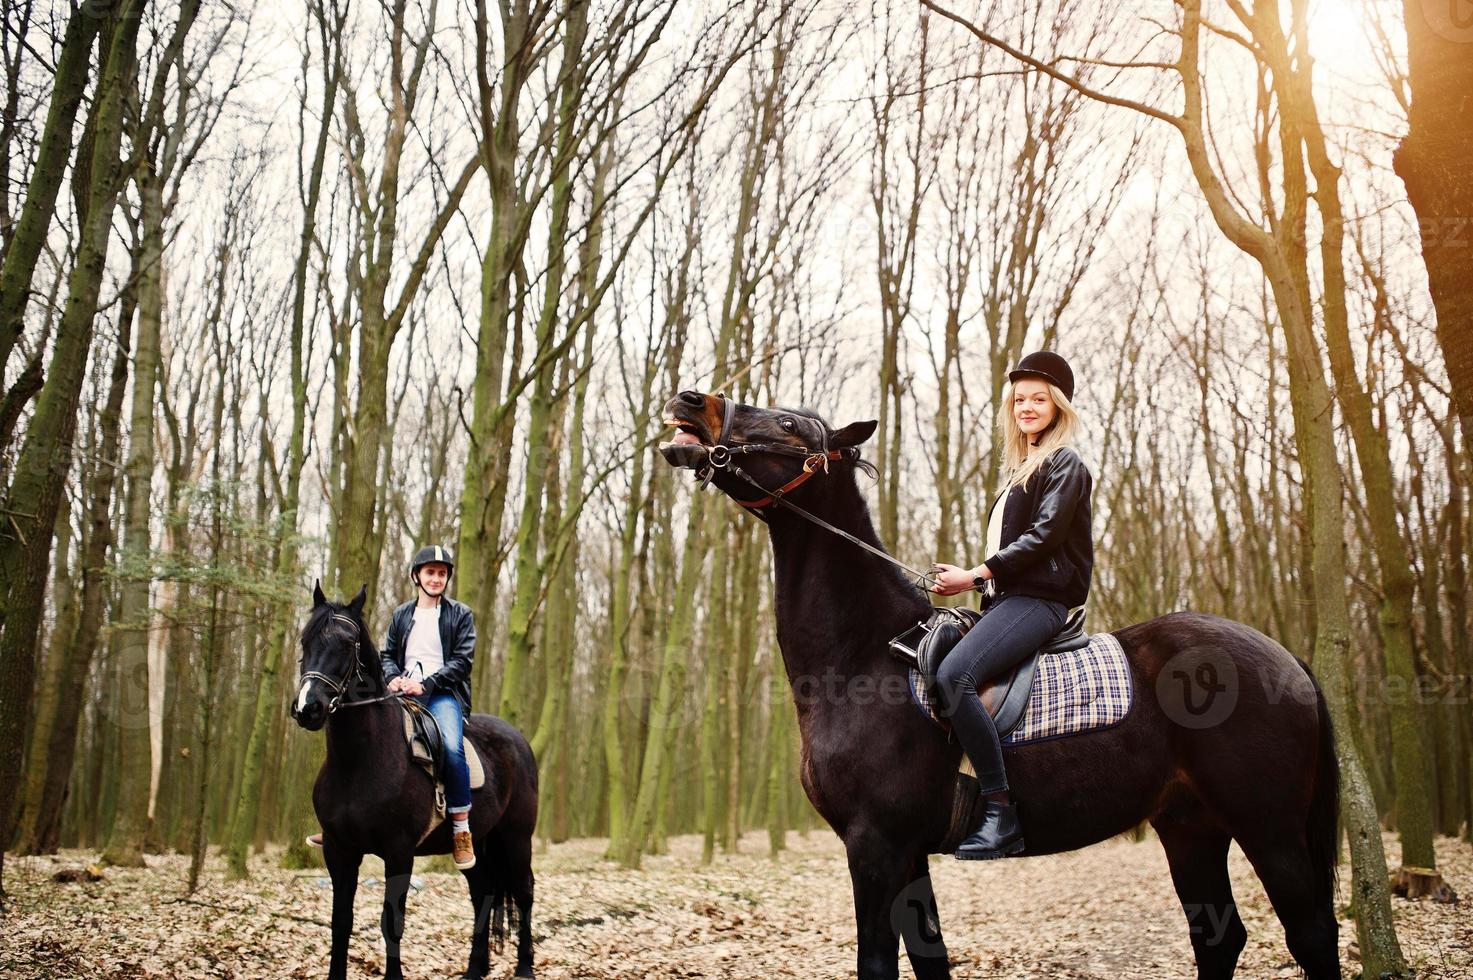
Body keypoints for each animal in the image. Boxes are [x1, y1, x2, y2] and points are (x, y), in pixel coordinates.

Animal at [290, 583, 539, 978]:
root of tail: (518, 740)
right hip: (479, 844)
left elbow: (392, 922)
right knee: (482, 893)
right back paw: (475, 968)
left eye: (347, 643)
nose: (307, 708)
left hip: (516, 837)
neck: (359, 762)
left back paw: (525, 967)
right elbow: (340, 922)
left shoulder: (398, 852)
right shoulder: (338, 850)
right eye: (305, 640)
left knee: (524, 892)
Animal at [656, 389, 1337, 978]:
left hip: (1268, 826)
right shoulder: (906, 852)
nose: (689, 400)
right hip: (1191, 826)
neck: (862, 661)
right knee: (1218, 939)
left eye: (789, 425)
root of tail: (1288, 660)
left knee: (1310, 934)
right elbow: (930, 958)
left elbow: (877, 963)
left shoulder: (875, 846)